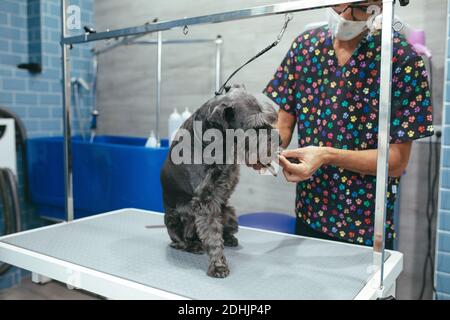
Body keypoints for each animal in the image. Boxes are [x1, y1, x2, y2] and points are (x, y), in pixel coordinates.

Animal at [160, 84, 280, 278]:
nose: (280, 141)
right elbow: (212, 235)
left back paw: (229, 238)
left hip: (229, 213)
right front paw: (218, 265)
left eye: (270, 118)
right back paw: (192, 245)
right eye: (254, 126)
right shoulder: (204, 202)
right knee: (179, 241)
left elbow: (216, 231)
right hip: (174, 218)